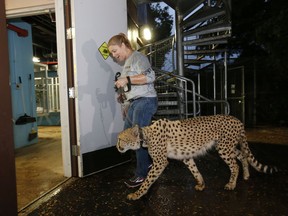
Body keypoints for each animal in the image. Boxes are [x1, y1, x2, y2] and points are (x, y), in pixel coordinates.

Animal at [116, 115, 276, 201]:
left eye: (121, 139)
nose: (117, 146)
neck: (145, 135)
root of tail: (236, 119)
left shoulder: (160, 162)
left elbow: (148, 180)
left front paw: (136, 194)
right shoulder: (186, 156)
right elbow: (194, 170)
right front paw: (201, 184)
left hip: (224, 148)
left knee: (235, 165)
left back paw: (231, 184)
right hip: (226, 147)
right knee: (243, 155)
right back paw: (246, 175)